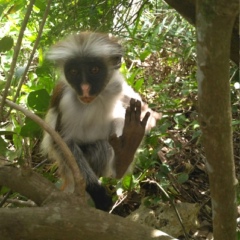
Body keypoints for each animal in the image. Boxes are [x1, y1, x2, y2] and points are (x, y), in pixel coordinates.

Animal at [41, 31, 159, 210]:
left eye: (94, 70)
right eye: (73, 72)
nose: (84, 88)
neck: (96, 98)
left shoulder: (116, 84)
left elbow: (142, 106)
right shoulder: (66, 101)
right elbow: (62, 143)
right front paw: (97, 192)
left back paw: (126, 151)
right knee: (101, 147)